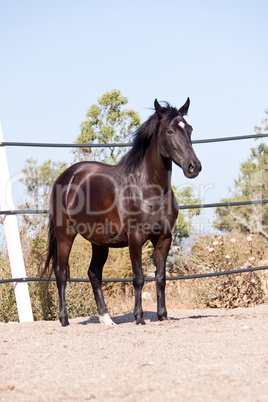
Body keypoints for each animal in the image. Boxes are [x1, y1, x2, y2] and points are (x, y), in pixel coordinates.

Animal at [43, 98, 201, 326]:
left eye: (189, 129)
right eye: (170, 131)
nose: (193, 167)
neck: (148, 190)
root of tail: (64, 177)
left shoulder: (164, 238)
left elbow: (160, 278)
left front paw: (162, 316)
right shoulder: (135, 238)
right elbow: (139, 278)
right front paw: (139, 317)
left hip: (99, 242)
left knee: (93, 273)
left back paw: (106, 319)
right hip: (65, 235)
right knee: (61, 273)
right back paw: (64, 319)